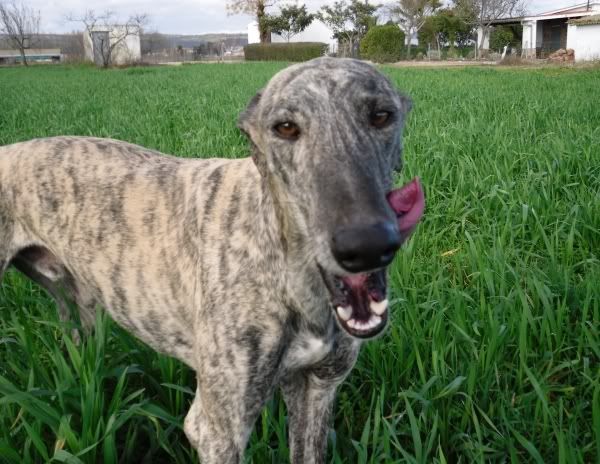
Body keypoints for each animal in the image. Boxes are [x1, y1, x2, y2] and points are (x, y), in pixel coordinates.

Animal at [0, 59, 424, 464]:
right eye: (285, 127)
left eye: (381, 115)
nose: (366, 245)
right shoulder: (218, 430)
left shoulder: (316, 387)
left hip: (78, 307)